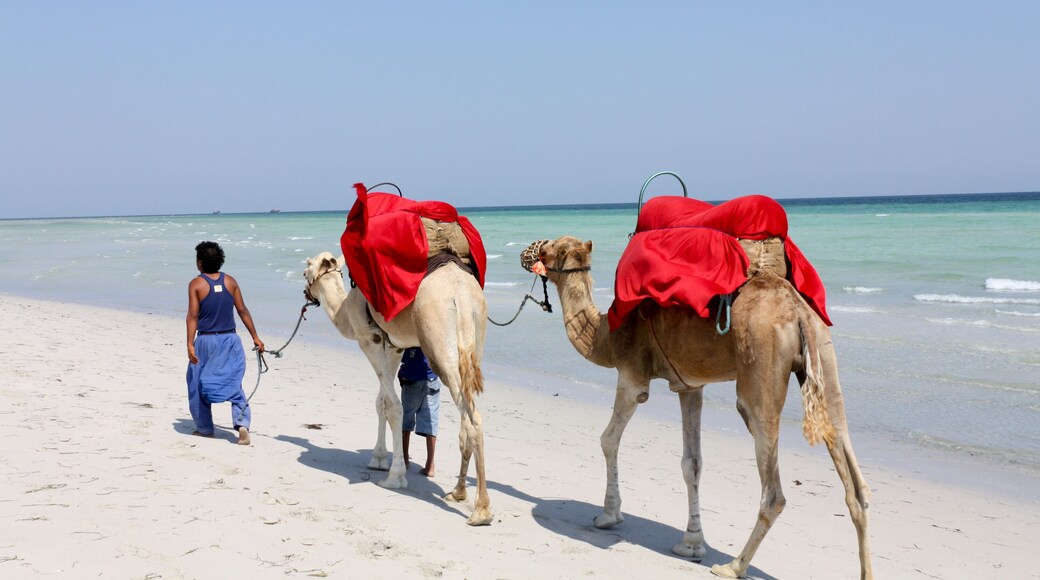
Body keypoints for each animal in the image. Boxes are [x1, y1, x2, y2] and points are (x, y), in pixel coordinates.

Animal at [303, 251, 492, 526]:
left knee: (472, 415)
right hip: (476, 332)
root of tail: (461, 293)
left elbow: (393, 406)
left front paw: (394, 476)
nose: (306, 293)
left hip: (438, 338)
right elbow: (381, 401)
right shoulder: (394, 345)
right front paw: (379, 459)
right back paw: (458, 492)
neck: (346, 308)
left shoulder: (368, 339)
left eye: (305, 271)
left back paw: (481, 510)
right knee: (467, 415)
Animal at [522, 236, 872, 578]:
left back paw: (733, 566)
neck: (604, 334)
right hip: (823, 355)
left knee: (772, 486)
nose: (527, 251)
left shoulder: (632, 375)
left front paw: (609, 515)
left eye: (549, 247)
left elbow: (608, 439)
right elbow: (692, 463)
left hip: (761, 364)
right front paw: (691, 544)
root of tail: (798, 312)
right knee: (850, 466)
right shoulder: (690, 386)